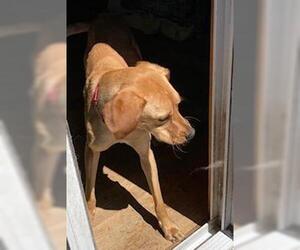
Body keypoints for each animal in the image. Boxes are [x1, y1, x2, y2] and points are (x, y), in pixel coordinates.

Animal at [83, 15, 195, 242]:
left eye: (179, 105)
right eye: (163, 118)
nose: (191, 135)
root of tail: (105, 15)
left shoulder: (146, 153)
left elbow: (159, 199)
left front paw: (168, 227)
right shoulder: (90, 151)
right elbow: (89, 190)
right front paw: (88, 214)